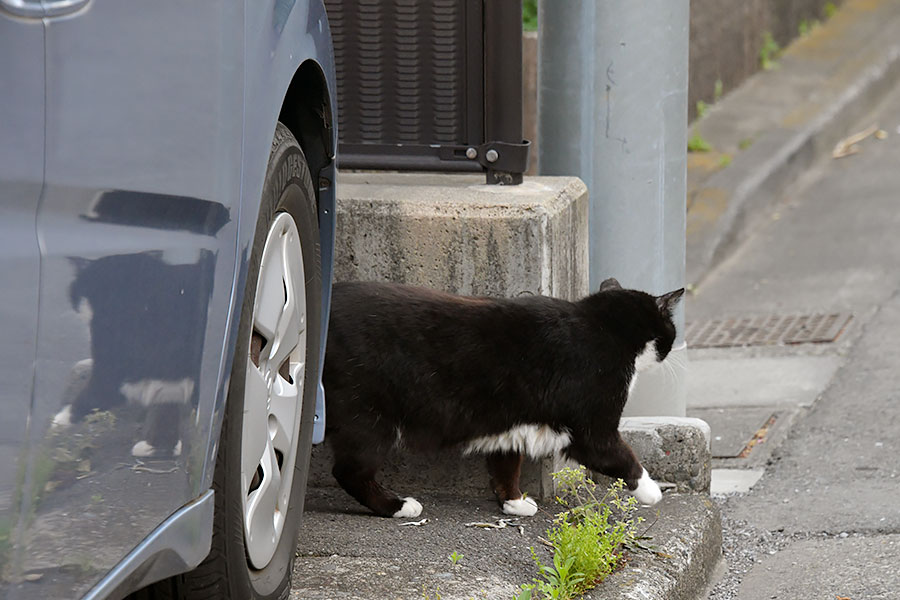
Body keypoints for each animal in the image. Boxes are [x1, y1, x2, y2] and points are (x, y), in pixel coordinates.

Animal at [324, 278, 684, 516]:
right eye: (670, 329)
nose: (673, 350)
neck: (602, 328)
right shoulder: (592, 427)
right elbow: (623, 457)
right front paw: (651, 491)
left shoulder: (509, 419)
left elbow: (505, 463)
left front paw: (513, 502)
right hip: (368, 414)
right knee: (349, 471)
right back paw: (397, 506)